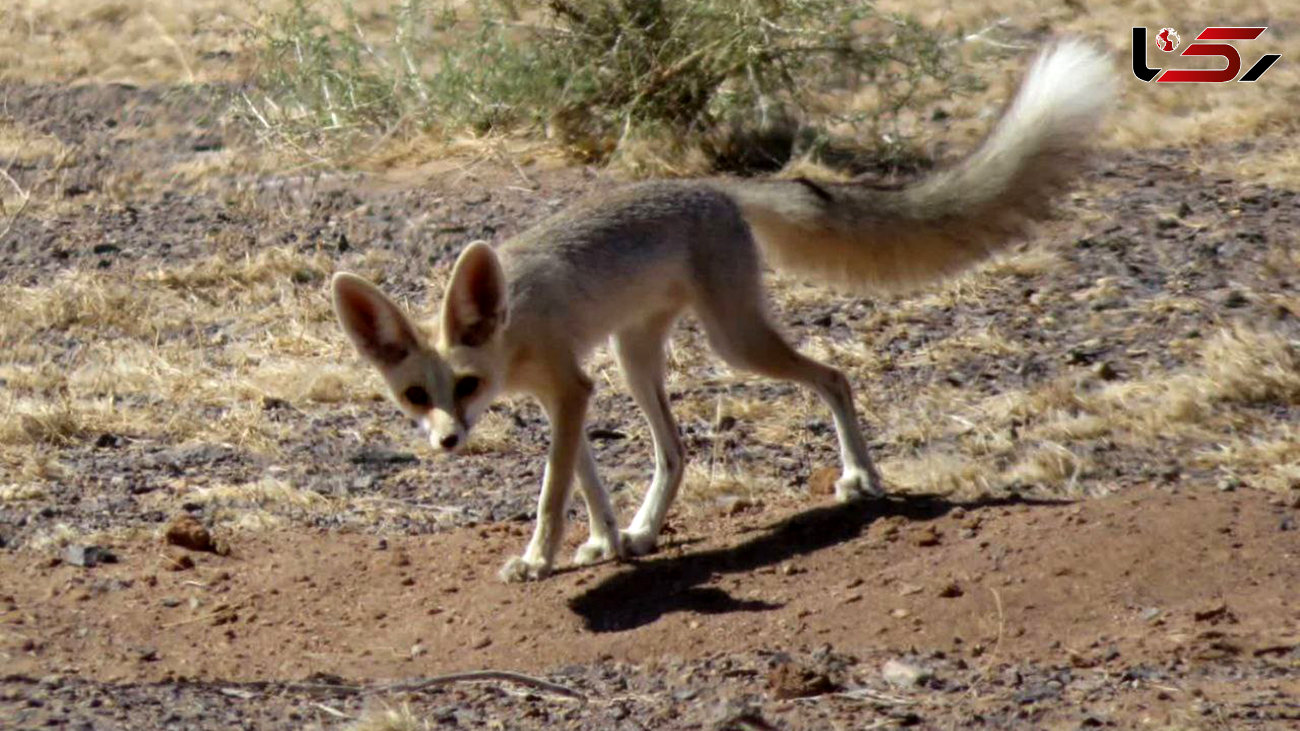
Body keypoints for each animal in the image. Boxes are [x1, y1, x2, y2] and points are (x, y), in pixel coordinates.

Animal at [330, 42, 1112, 582]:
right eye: (415, 395)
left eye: (464, 385)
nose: (447, 441)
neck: (512, 325)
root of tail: (715, 188)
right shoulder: (574, 393)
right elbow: (585, 481)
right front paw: (605, 540)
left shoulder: (571, 388)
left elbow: (554, 491)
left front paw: (538, 559)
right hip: (634, 357)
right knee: (676, 451)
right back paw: (643, 533)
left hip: (735, 344)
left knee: (833, 377)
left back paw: (860, 480)